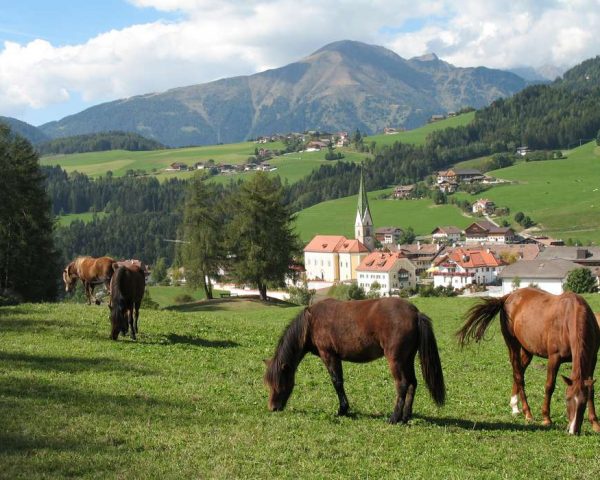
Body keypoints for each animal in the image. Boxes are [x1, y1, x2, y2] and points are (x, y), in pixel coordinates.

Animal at [264, 296, 446, 424]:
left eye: (279, 382)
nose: (272, 407)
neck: (311, 322)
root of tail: (415, 313)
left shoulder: (329, 354)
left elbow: (337, 382)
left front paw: (343, 409)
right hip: (407, 359)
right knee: (412, 383)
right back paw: (406, 416)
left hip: (396, 360)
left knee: (402, 384)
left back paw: (394, 418)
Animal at [458, 286, 596, 436]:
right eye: (567, 399)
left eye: (583, 403)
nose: (573, 431)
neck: (570, 314)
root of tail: (508, 297)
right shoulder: (554, 357)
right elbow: (549, 386)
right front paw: (546, 418)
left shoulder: (592, 358)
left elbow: (591, 389)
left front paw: (595, 423)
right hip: (512, 344)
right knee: (518, 375)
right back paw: (527, 413)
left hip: (527, 349)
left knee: (519, 372)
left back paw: (514, 406)